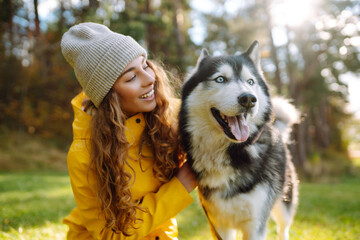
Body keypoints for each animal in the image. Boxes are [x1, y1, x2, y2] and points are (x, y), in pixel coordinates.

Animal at [179, 40, 300, 239]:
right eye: (220, 79)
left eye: (250, 82)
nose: (249, 99)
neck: (229, 151)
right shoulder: (218, 222)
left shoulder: (255, 224)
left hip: (284, 203)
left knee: (283, 229)